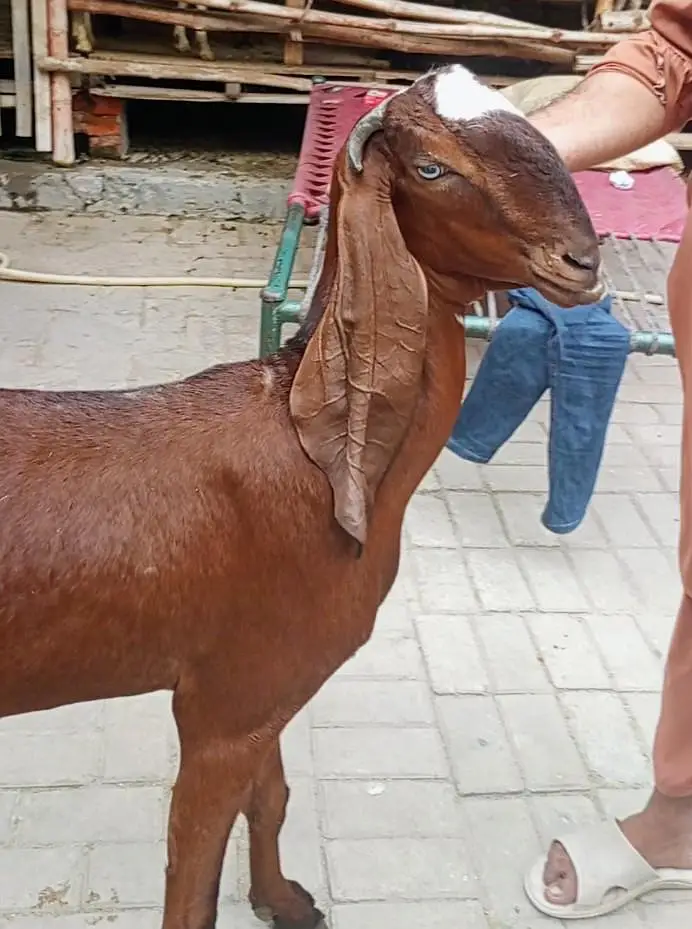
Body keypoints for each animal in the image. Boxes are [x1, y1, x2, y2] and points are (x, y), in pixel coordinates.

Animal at [0, 64, 602, 929]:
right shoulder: (220, 708)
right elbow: (192, 884)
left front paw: (281, 899)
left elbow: (274, 796)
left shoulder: (270, 687)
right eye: (432, 168)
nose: (582, 260)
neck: (306, 449)